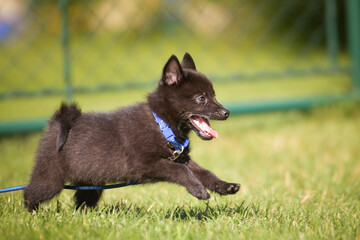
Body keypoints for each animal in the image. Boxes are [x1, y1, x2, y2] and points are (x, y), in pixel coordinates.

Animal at [23, 53, 240, 211]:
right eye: (201, 98)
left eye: (214, 95)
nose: (226, 113)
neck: (162, 123)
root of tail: (57, 122)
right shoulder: (146, 164)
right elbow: (181, 171)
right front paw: (198, 190)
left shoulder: (181, 158)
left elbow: (203, 171)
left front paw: (224, 185)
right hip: (50, 177)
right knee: (30, 194)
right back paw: (32, 216)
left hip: (90, 182)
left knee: (82, 202)